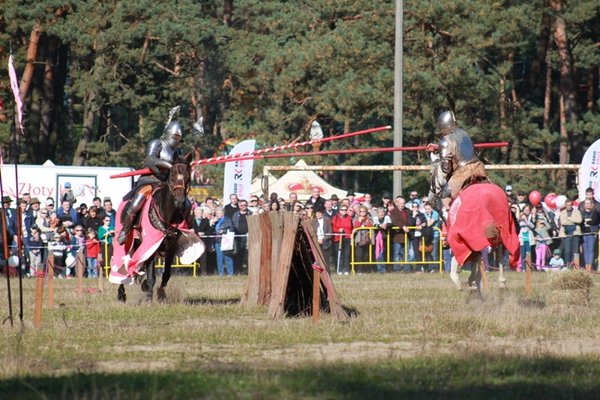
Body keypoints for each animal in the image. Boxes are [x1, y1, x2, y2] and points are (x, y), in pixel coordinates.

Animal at [116, 155, 193, 302]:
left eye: (188, 176)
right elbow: (152, 276)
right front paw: (148, 298)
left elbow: (166, 274)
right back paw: (121, 293)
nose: (180, 201)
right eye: (172, 174)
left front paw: (161, 294)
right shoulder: (151, 245)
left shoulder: (171, 247)